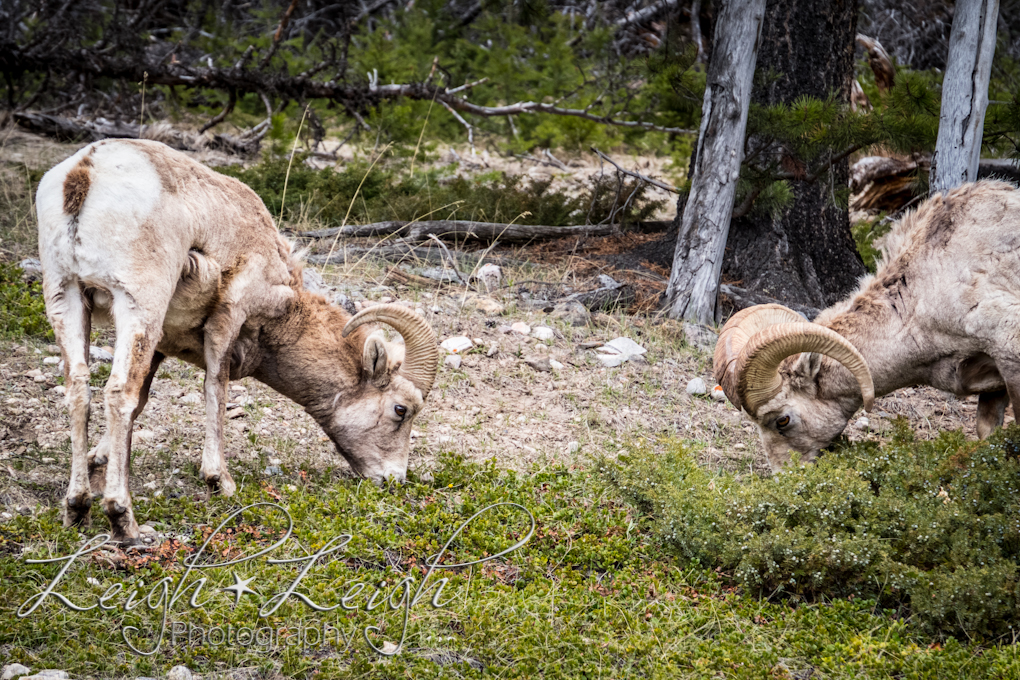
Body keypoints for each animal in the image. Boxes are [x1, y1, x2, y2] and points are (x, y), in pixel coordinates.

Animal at [37, 140, 436, 546]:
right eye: (401, 409)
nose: (394, 480)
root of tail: (85, 173)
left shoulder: (161, 343)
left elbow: (143, 402)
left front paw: (97, 461)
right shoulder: (228, 315)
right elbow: (216, 387)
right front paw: (220, 481)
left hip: (66, 295)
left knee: (80, 388)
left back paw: (77, 508)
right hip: (138, 303)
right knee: (119, 393)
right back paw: (124, 520)